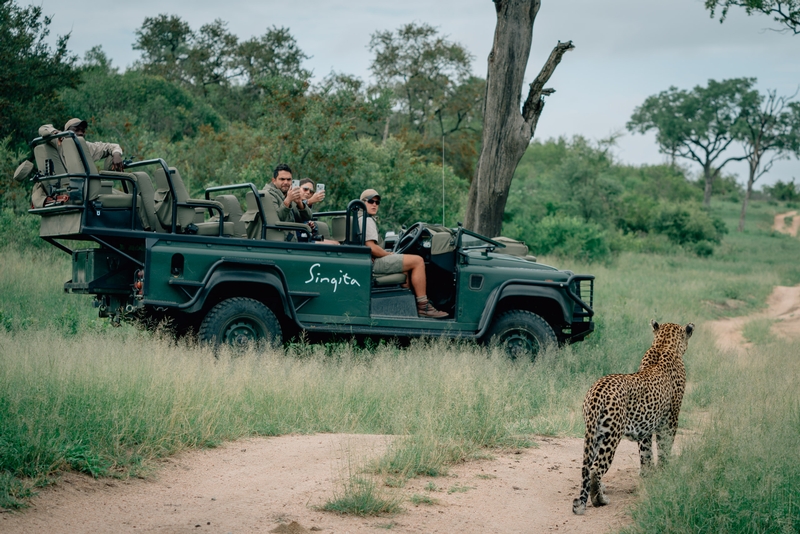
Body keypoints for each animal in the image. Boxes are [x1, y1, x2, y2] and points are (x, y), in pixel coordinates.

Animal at [568, 320, 692, 516]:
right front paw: (664, 473)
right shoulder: (670, 421)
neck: (663, 345)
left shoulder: (646, 428)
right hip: (611, 435)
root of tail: (597, 392)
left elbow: (646, 453)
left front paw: (648, 476)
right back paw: (599, 499)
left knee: (586, 468)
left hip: (593, 433)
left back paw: (585, 500)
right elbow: (664, 448)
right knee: (596, 469)